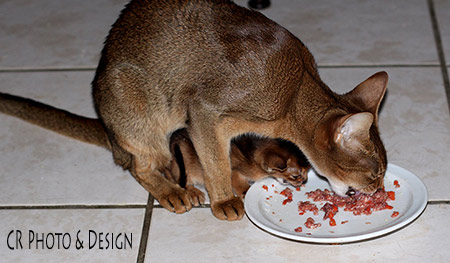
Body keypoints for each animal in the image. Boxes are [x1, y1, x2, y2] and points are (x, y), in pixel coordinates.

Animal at [168, 129, 310, 205]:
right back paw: (194, 193)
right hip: (184, 165)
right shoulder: (233, 171)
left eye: (308, 171)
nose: (304, 181)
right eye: (296, 175)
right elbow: (239, 183)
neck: (252, 154)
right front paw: (246, 192)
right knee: (182, 182)